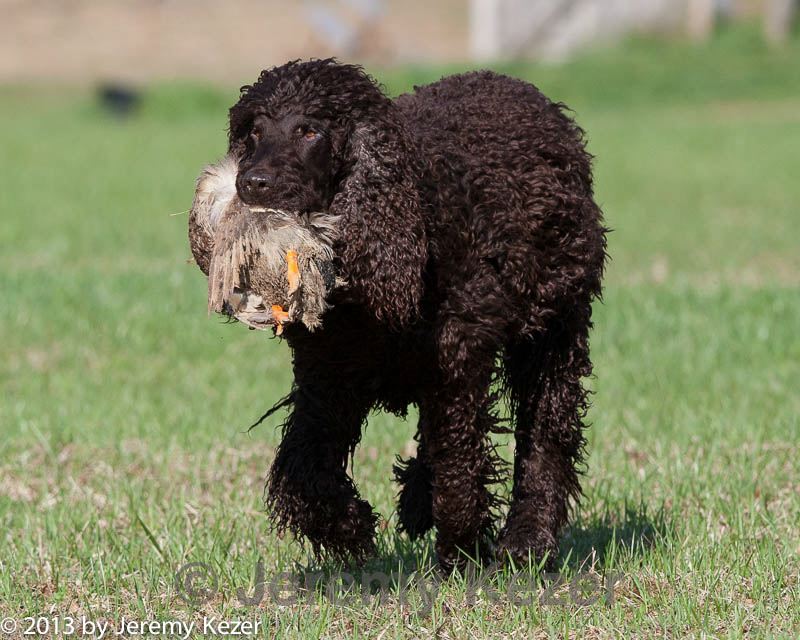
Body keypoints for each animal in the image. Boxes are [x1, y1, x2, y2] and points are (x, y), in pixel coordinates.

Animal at [205, 58, 608, 568]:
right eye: (254, 131)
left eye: (310, 130)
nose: (252, 183)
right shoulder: (328, 375)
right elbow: (303, 468)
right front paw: (348, 529)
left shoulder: (456, 360)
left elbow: (459, 465)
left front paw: (462, 549)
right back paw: (420, 502)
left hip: (554, 327)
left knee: (547, 432)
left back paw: (527, 539)